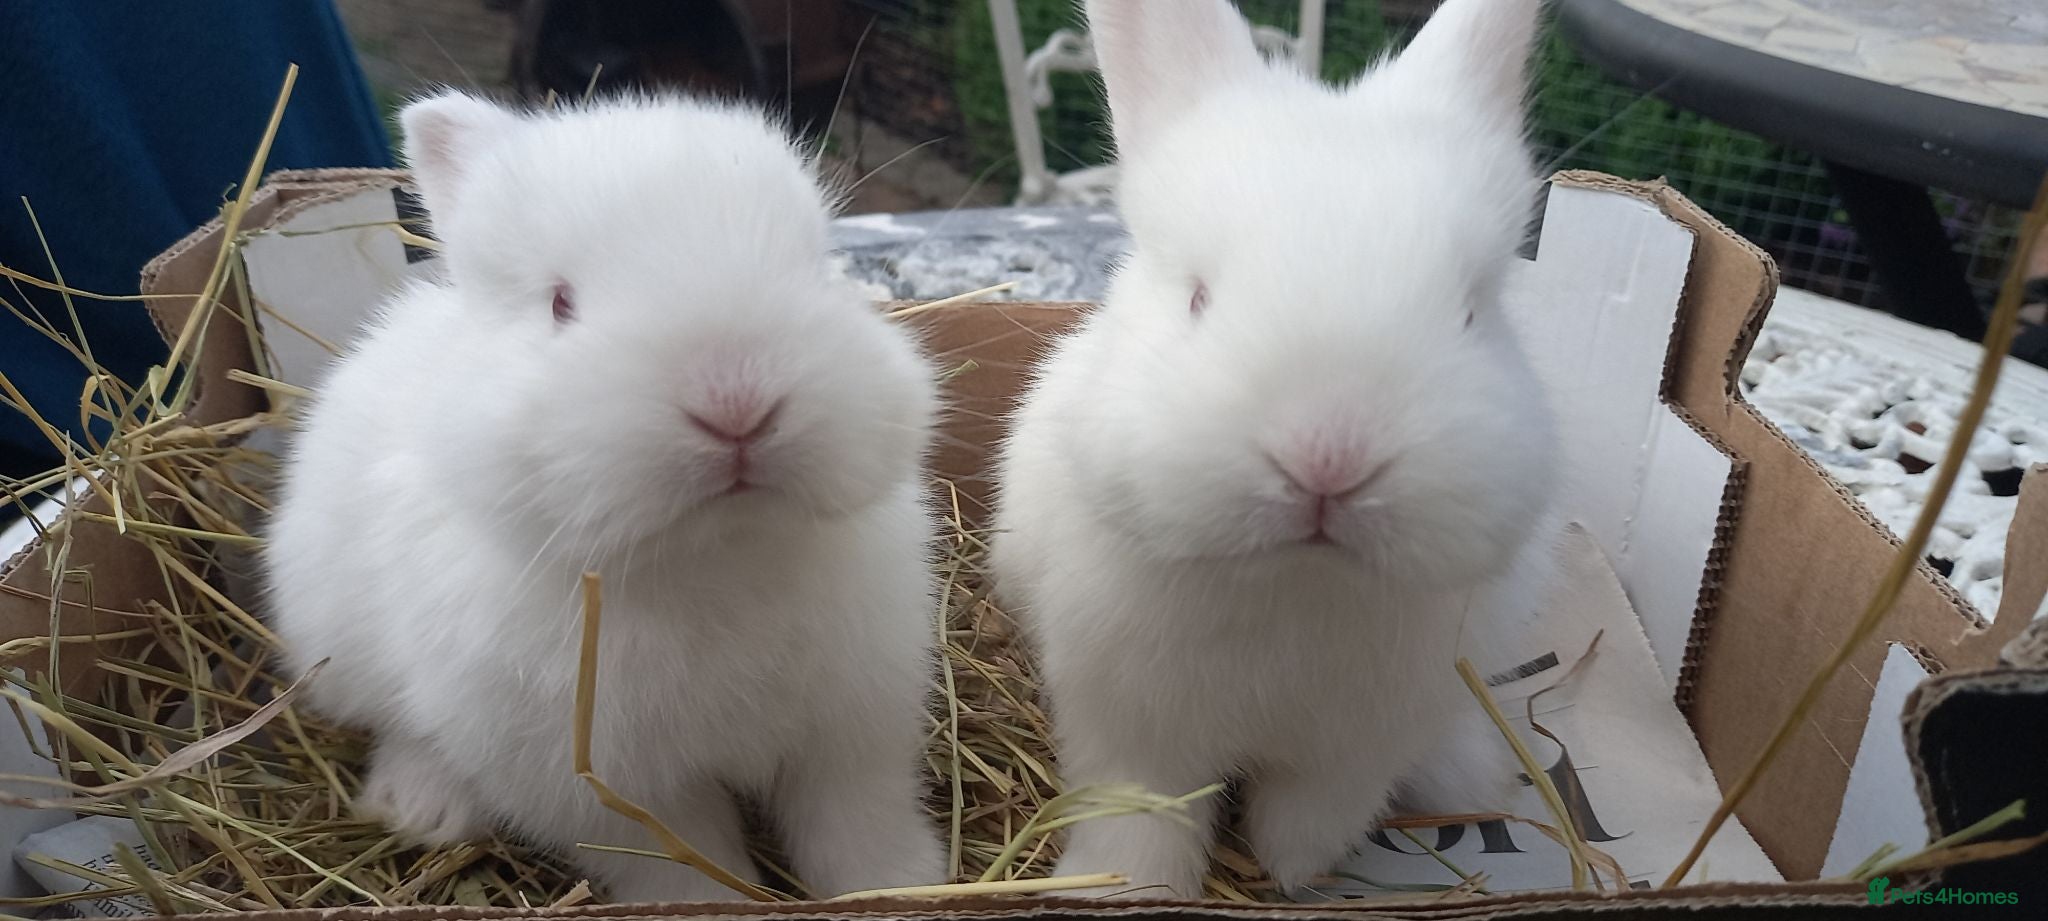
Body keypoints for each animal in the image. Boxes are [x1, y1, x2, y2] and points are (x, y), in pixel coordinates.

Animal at [263, 90, 946, 903]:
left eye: (817, 269)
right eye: (561, 304)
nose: (738, 404)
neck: (714, 558)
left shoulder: (853, 732)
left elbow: (855, 826)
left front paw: (906, 884)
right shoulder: (602, 788)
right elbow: (679, 861)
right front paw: (713, 905)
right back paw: (420, 809)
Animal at [989, 0, 1559, 899]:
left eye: (1473, 312)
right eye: (1197, 297)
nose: (1328, 460)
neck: (1295, 581)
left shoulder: (1361, 746)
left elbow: (1311, 817)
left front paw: (1289, 874)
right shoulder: (1125, 724)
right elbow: (1140, 818)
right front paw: (1132, 885)